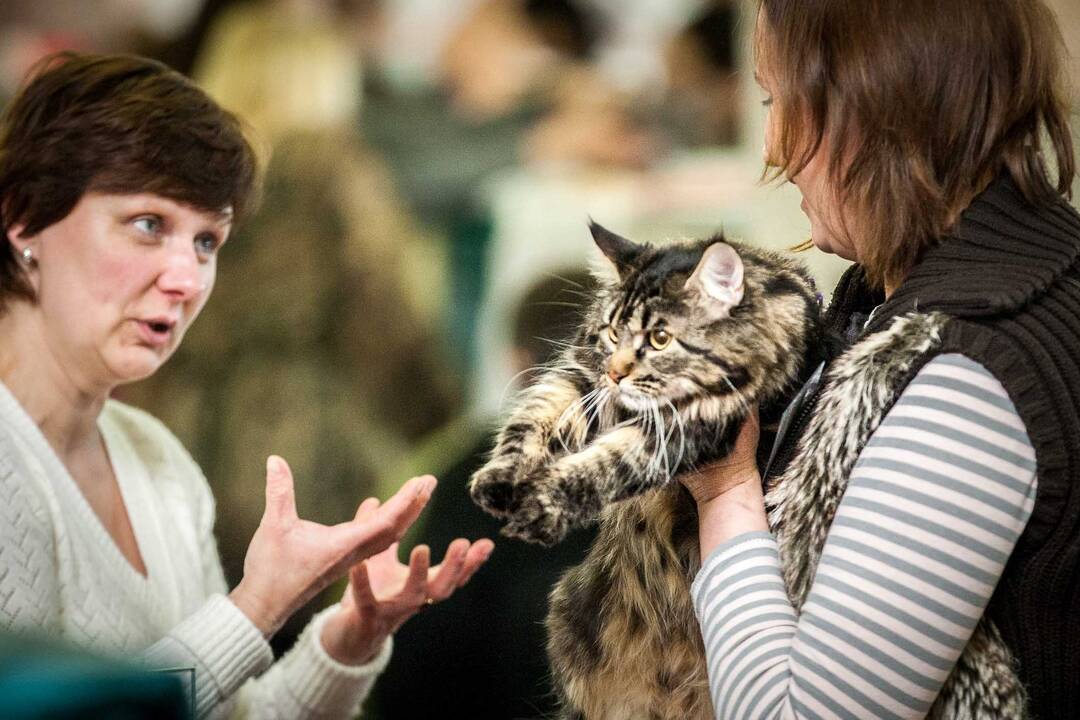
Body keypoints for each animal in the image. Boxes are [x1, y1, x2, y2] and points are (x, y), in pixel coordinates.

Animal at [470, 222, 816, 716]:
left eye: (660, 339)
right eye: (613, 333)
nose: (617, 374)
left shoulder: (684, 431)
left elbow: (604, 465)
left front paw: (544, 505)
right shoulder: (583, 379)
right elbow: (536, 415)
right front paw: (502, 476)